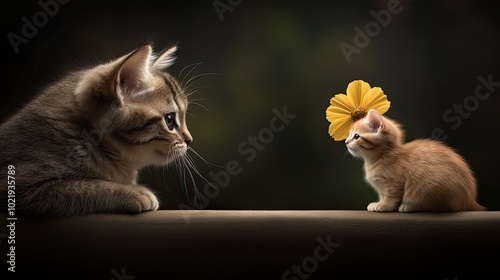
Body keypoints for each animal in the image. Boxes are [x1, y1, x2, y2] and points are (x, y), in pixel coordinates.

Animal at [348, 109, 484, 212]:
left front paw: (384, 205)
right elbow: (382, 195)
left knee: (441, 207)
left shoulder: (395, 184)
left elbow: (391, 197)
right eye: (350, 136)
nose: (346, 142)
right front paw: (380, 202)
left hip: (431, 184)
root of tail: (470, 200)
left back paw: (410, 206)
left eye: (356, 136)